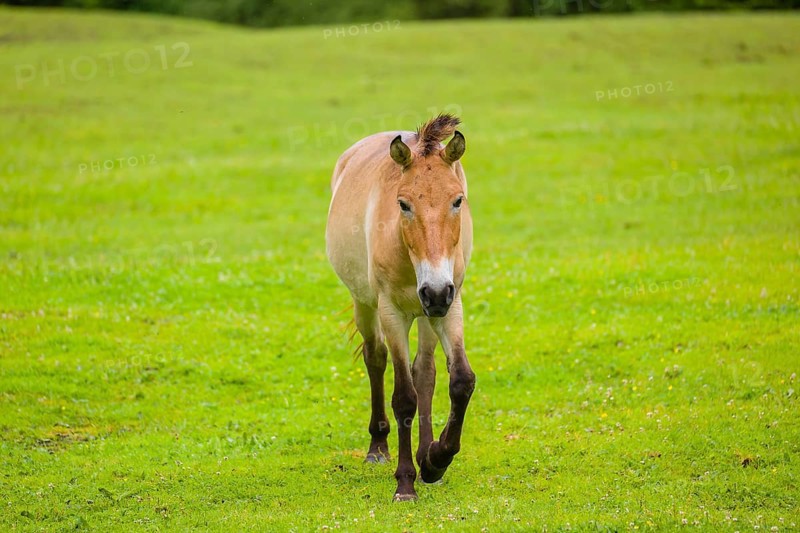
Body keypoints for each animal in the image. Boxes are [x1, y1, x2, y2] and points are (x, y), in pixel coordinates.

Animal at [325, 114, 476, 501]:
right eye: (404, 204)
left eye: (457, 200)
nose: (434, 292)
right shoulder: (392, 312)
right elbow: (404, 397)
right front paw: (406, 482)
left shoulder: (451, 305)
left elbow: (459, 380)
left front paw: (436, 460)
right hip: (366, 304)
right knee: (376, 360)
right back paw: (378, 447)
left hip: (426, 315)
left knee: (425, 372)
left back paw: (426, 454)